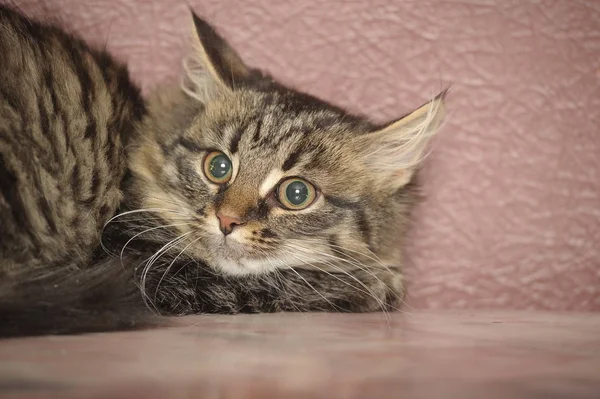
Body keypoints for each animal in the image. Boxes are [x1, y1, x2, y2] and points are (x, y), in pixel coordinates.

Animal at [0, 5, 446, 338]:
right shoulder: (143, 269)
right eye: (218, 167)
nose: (227, 220)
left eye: (296, 194)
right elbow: (292, 282)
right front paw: (379, 283)